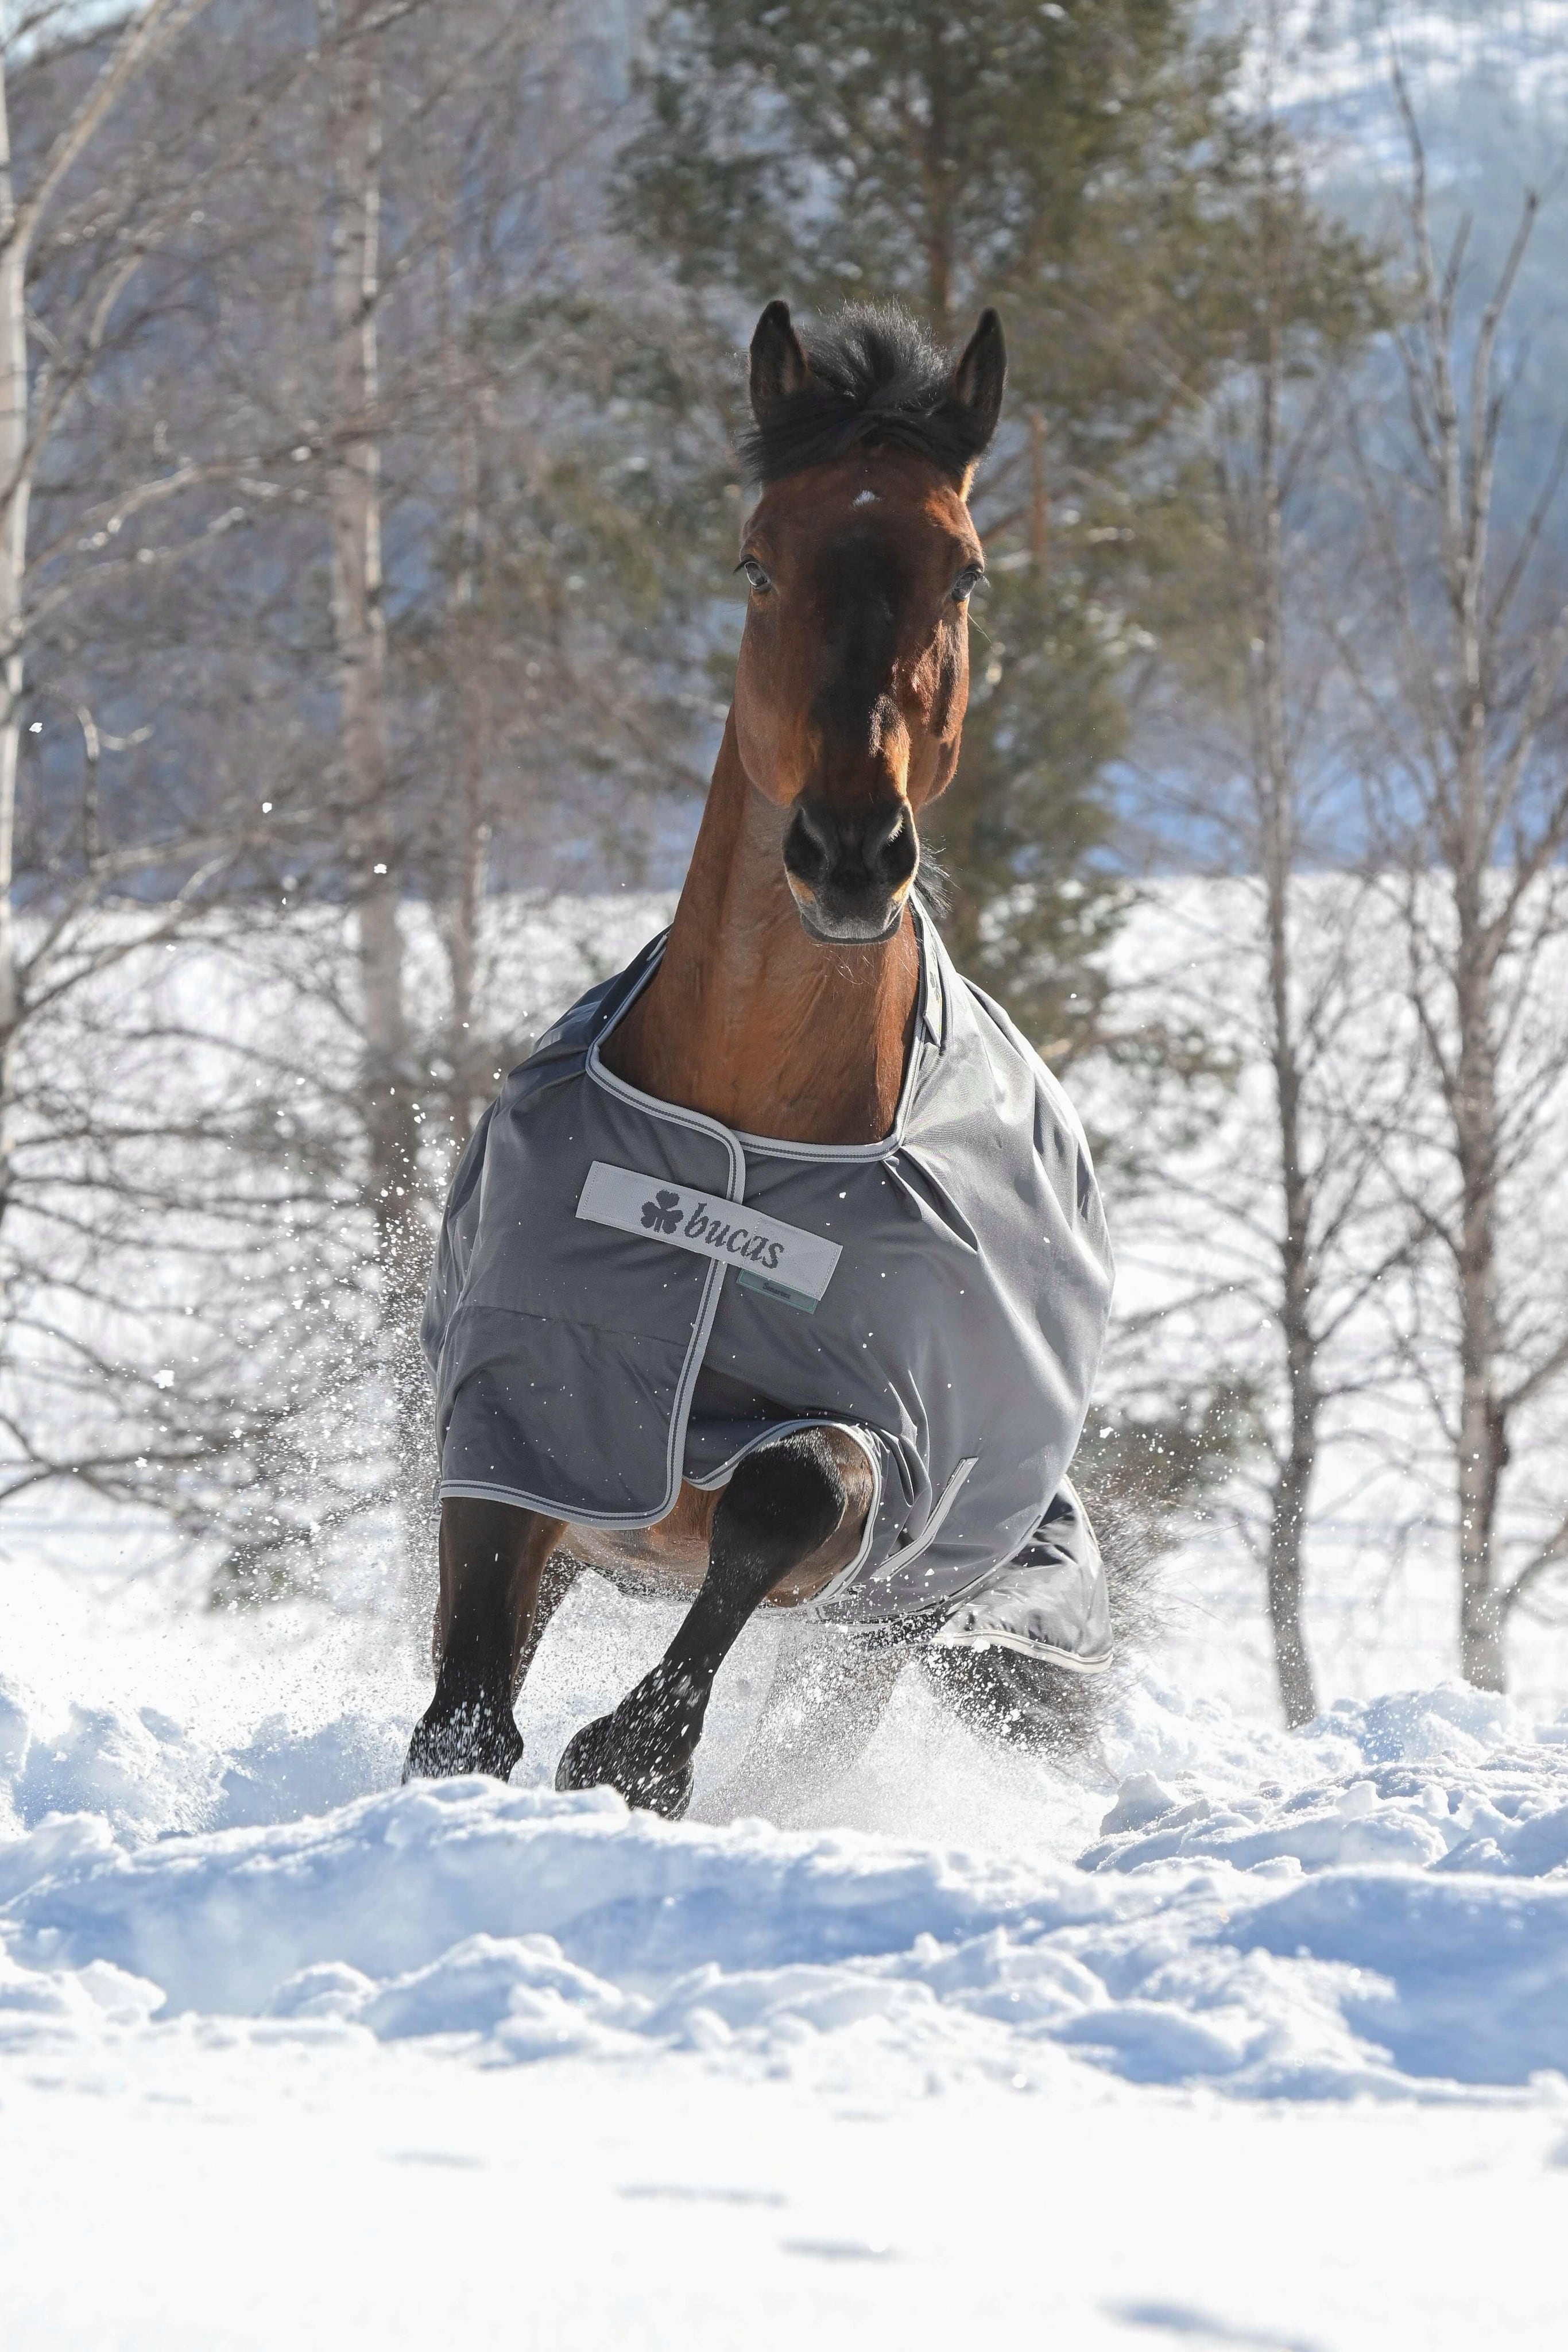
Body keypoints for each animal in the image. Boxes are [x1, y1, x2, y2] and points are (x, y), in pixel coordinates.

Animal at [405, 300, 1116, 1816]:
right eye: (756, 558)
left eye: (965, 571)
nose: (850, 849)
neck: (744, 1130)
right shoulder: (524, 1415)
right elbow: (466, 1704)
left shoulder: (891, 1450)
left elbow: (795, 1487)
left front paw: (634, 1755)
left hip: (903, 1610)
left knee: (822, 1703)